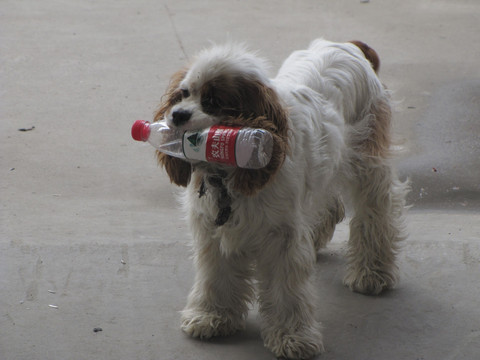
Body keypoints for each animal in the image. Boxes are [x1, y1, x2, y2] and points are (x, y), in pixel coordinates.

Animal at [154, 39, 408, 360]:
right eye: (183, 94)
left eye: (212, 101)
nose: (176, 115)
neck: (229, 175)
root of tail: (346, 45)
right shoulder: (214, 232)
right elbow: (215, 277)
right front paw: (211, 316)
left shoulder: (281, 239)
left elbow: (285, 292)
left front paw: (293, 337)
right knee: (329, 205)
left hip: (368, 164)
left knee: (376, 211)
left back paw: (373, 272)